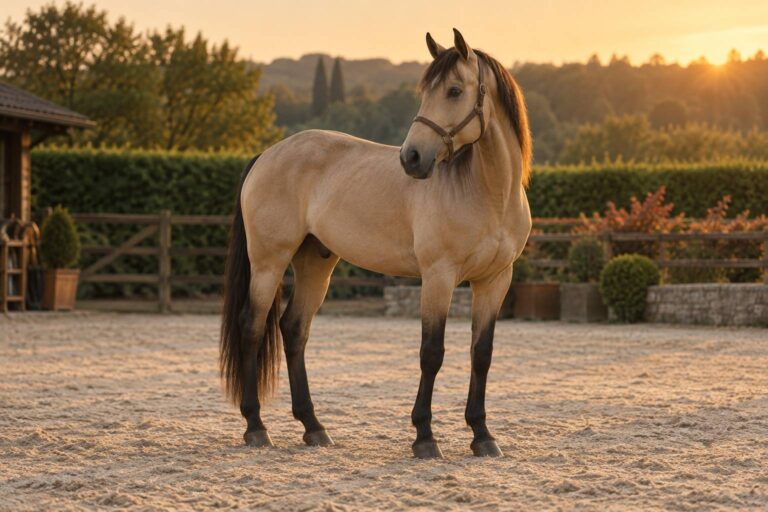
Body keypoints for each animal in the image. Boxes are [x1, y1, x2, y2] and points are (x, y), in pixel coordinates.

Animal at [220, 28, 532, 459]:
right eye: (425, 91)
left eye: (454, 90)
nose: (412, 158)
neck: (488, 193)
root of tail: (267, 154)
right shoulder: (438, 277)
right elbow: (431, 353)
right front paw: (425, 437)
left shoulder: (495, 281)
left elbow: (481, 354)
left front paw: (483, 435)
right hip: (269, 262)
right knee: (251, 326)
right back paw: (256, 427)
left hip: (315, 263)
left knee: (294, 329)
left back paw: (314, 427)